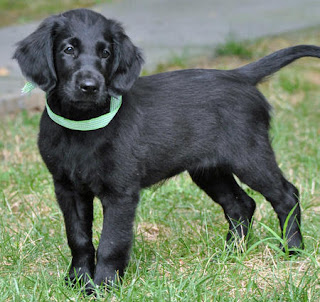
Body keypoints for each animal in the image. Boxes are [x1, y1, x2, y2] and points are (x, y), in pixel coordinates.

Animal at [14, 8, 320, 292]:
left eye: (105, 53)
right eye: (68, 49)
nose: (90, 86)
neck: (82, 125)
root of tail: (240, 76)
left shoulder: (121, 193)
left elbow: (111, 242)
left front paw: (104, 285)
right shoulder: (67, 188)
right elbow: (78, 238)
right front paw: (78, 280)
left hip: (250, 156)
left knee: (286, 195)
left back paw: (292, 249)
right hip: (209, 170)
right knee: (241, 204)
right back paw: (231, 253)